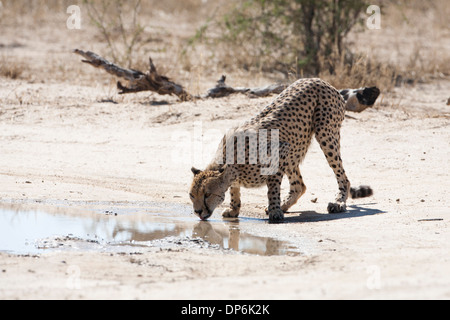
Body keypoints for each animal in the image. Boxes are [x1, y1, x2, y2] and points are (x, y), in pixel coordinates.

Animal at [189, 79, 376, 221]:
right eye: (191, 195)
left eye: (207, 194)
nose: (197, 212)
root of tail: (320, 80)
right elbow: (235, 191)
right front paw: (234, 209)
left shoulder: (279, 152)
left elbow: (272, 189)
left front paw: (275, 211)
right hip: (295, 148)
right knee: (300, 185)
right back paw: (286, 204)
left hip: (325, 135)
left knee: (342, 177)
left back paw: (338, 203)